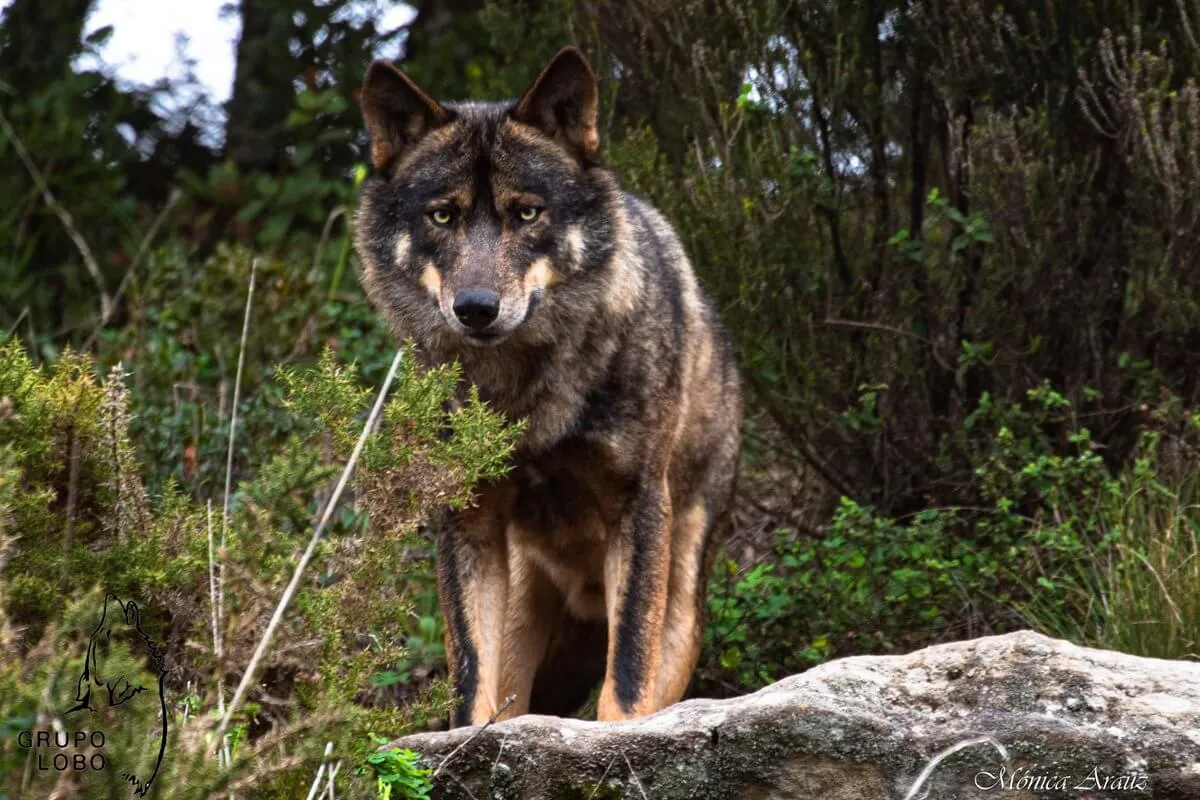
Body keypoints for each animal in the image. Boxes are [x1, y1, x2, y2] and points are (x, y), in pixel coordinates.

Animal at [353, 47, 742, 726]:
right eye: (443, 215)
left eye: (527, 212)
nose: (475, 309)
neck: (520, 397)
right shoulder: (467, 521)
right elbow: (469, 681)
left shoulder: (637, 506)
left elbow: (628, 675)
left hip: (681, 603)